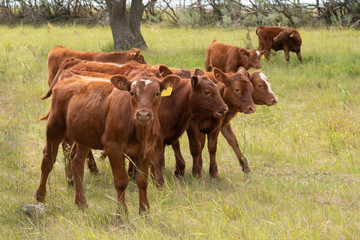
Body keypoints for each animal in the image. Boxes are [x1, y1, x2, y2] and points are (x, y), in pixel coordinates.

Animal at [35, 71, 179, 212]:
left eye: (157, 93)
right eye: (132, 92)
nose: (143, 114)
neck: (140, 133)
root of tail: (67, 77)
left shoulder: (148, 149)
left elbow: (142, 181)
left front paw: (144, 211)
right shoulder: (114, 147)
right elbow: (121, 181)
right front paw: (121, 213)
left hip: (84, 136)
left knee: (77, 162)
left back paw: (81, 202)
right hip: (54, 127)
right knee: (48, 160)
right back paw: (40, 196)